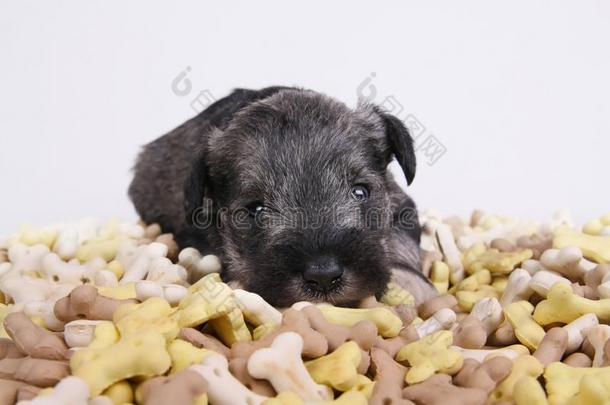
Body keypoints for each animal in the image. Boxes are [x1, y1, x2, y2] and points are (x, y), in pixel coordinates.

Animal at [128, 86, 434, 306]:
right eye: (256, 209)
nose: (323, 276)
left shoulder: (402, 209)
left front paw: (411, 286)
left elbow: (402, 248)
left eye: (360, 191)